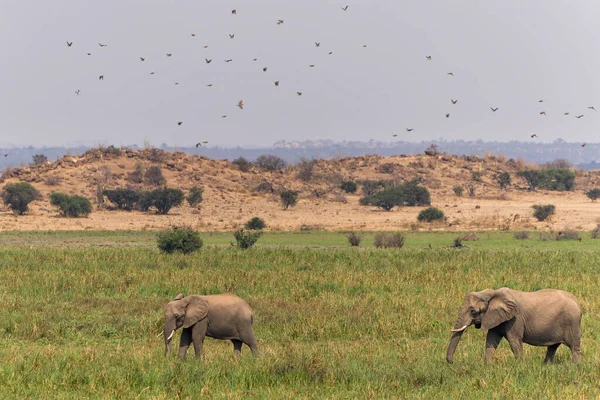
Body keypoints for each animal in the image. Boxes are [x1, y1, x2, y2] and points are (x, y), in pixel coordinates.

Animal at [446, 286, 580, 364]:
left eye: (472, 311)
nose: (452, 362)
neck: (492, 293)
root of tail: (577, 301)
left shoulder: (515, 319)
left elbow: (514, 340)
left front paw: (520, 366)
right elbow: (491, 339)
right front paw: (488, 367)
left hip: (572, 321)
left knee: (574, 346)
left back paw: (575, 366)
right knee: (553, 347)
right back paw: (546, 365)